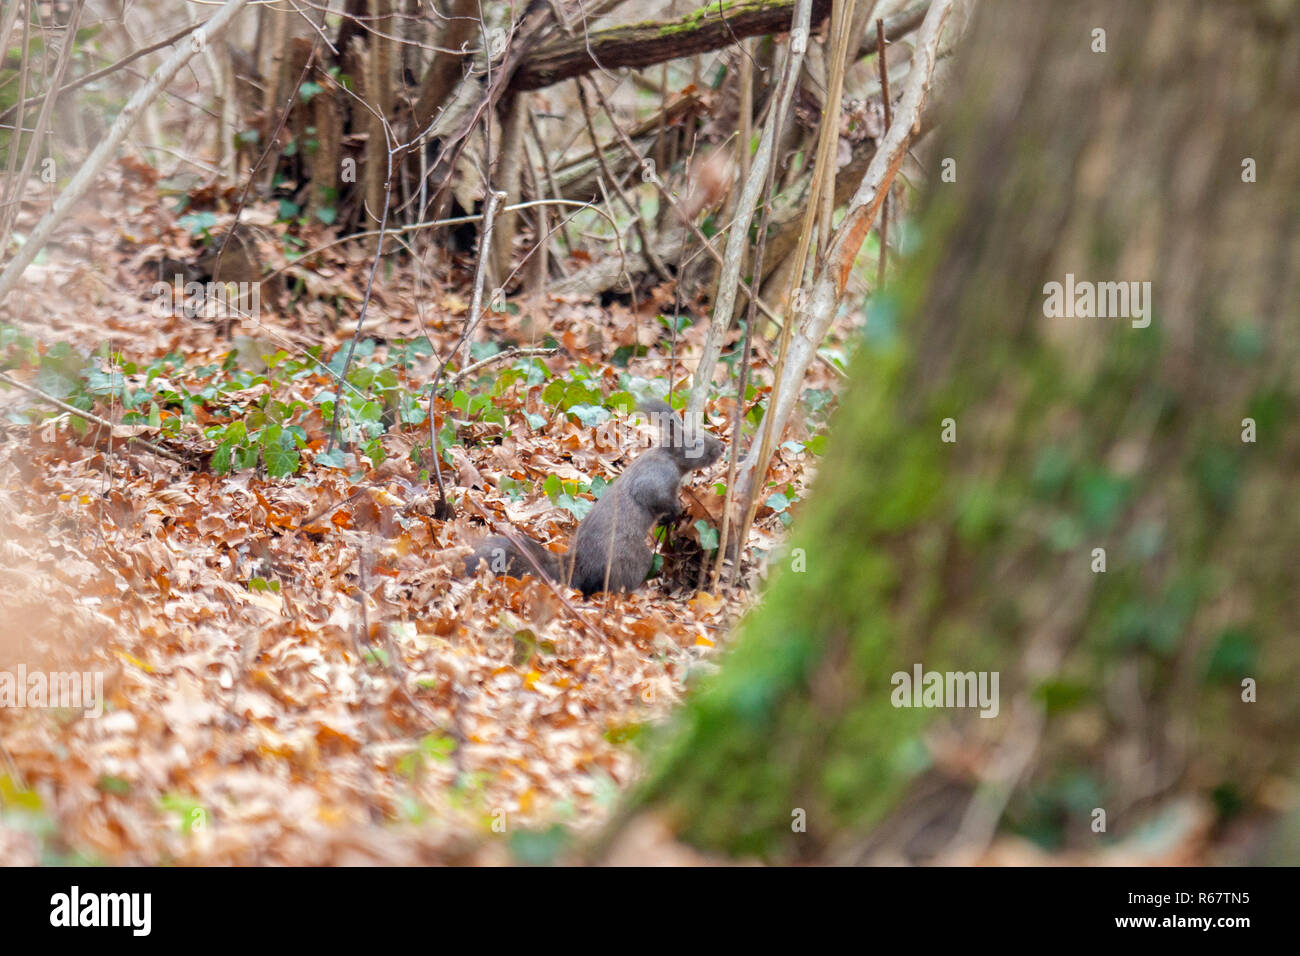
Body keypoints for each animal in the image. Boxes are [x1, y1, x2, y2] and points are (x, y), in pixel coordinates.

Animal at [463, 399, 723, 596]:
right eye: (697, 442)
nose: (721, 447)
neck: (670, 458)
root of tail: (578, 567)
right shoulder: (654, 478)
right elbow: (656, 498)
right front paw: (674, 512)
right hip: (633, 559)